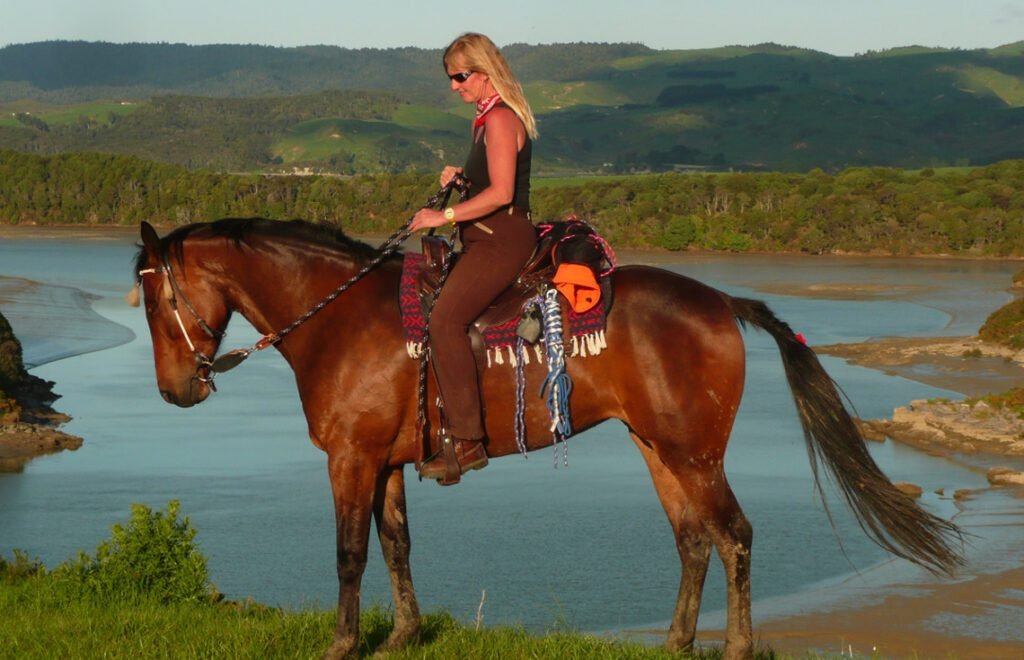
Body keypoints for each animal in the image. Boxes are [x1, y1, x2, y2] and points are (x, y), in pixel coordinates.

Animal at [133, 217, 962, 659]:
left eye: (150, 299)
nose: (175, 392)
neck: (339, 321)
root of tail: (723, 301)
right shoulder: (385, 462)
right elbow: (395, 545)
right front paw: (402, 635)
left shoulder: (351, 459)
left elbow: (348, 554)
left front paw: (343, 645)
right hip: (657, 449)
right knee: (694, 539)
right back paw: (674, 642)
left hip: (694, 454)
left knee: (734, 535)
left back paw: (732, 646)